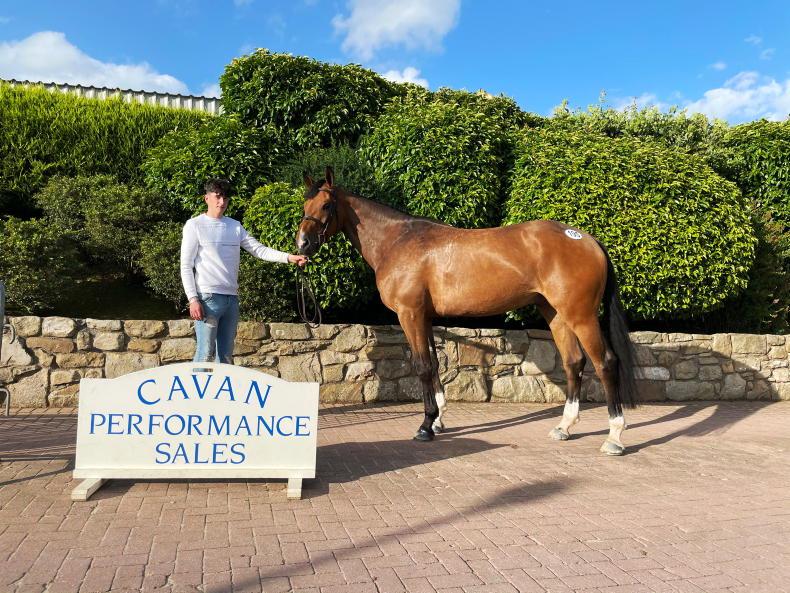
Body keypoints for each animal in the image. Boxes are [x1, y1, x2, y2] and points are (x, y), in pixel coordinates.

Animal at [296, 167, 637, 455]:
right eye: (305, 202)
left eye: (326, 205)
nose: (302, 244)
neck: (398, 241)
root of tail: (589, 241)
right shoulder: (425, 317)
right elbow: (434, 364)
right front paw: (438, 420)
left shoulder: (410, 314)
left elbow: (422, 366)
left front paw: (425, 426)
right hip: (556, 314)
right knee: (573, 363)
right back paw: (564, 427)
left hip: (581, 316)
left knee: (606, 363)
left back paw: (615, 436)